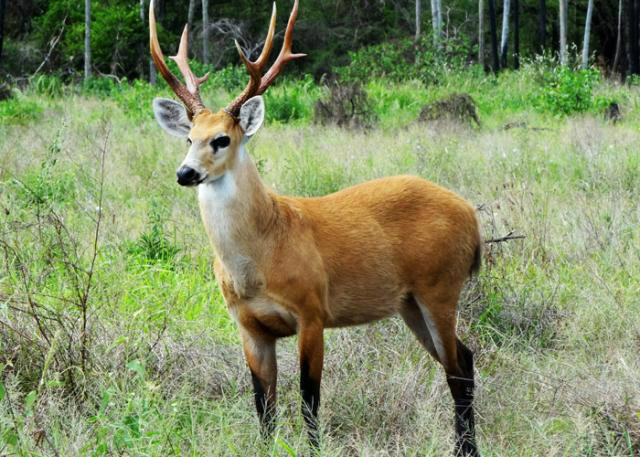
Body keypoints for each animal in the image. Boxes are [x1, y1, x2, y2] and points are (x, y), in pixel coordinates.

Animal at [148, 1, 482, 454]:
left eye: (222, 139)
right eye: (189, 138)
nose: (185, 173)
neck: (261, 255)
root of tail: (471, 215)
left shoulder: (311, 310)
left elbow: (309, 398)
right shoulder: (249, 325)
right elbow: (264, 406)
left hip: (441, 285)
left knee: (457, 369)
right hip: (410, 302)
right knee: (465, 358)